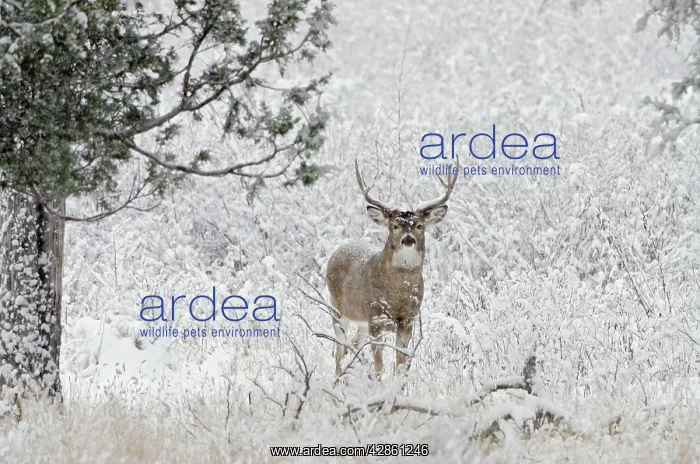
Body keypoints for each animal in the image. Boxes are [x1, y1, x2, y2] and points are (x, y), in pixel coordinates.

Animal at [326, 157, 458, 378]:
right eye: (395, 225)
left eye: (419, 226)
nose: (408, 240)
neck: (397, 295)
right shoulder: (376, 318)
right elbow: (379, 365)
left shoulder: (407, 320)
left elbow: (400, 363)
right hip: (337, 309)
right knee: (339, 351)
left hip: (361, 321)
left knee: (353, 346)